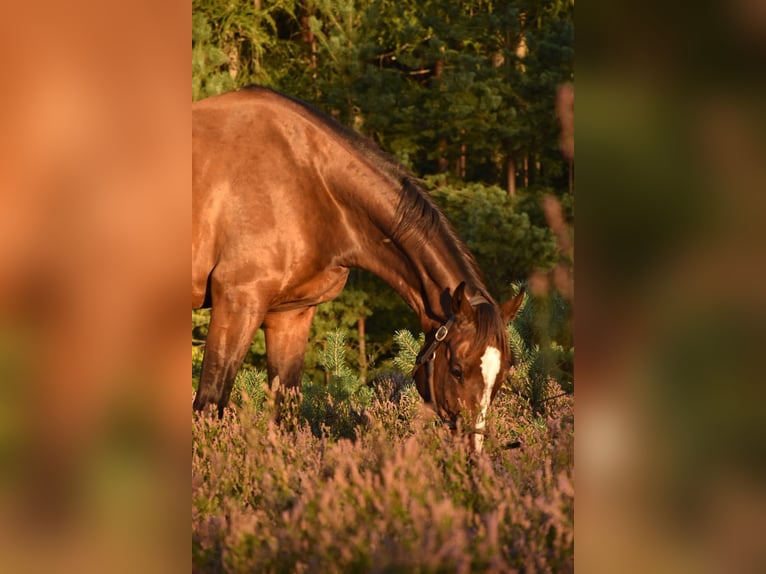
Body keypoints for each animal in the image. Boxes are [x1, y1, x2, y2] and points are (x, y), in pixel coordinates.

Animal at [195, 88, 524, 452]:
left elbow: (286, 414)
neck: (307, 182)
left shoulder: (290, 313)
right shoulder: (238, 302)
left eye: (501, 377)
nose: (472, 450)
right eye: (456, 369)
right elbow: (208, 406)